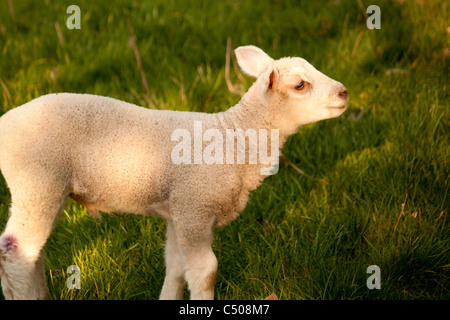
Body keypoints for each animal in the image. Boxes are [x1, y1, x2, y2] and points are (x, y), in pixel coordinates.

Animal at [0, 45, 348, 300]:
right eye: (300, 84)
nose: (344, 93)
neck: (235, 139)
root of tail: (6, 122)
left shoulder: (177, 211)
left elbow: (177, 268)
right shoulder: (194, 208)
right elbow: (206, 271)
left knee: (34, 254)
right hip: (37, 182)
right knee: (15, 252)